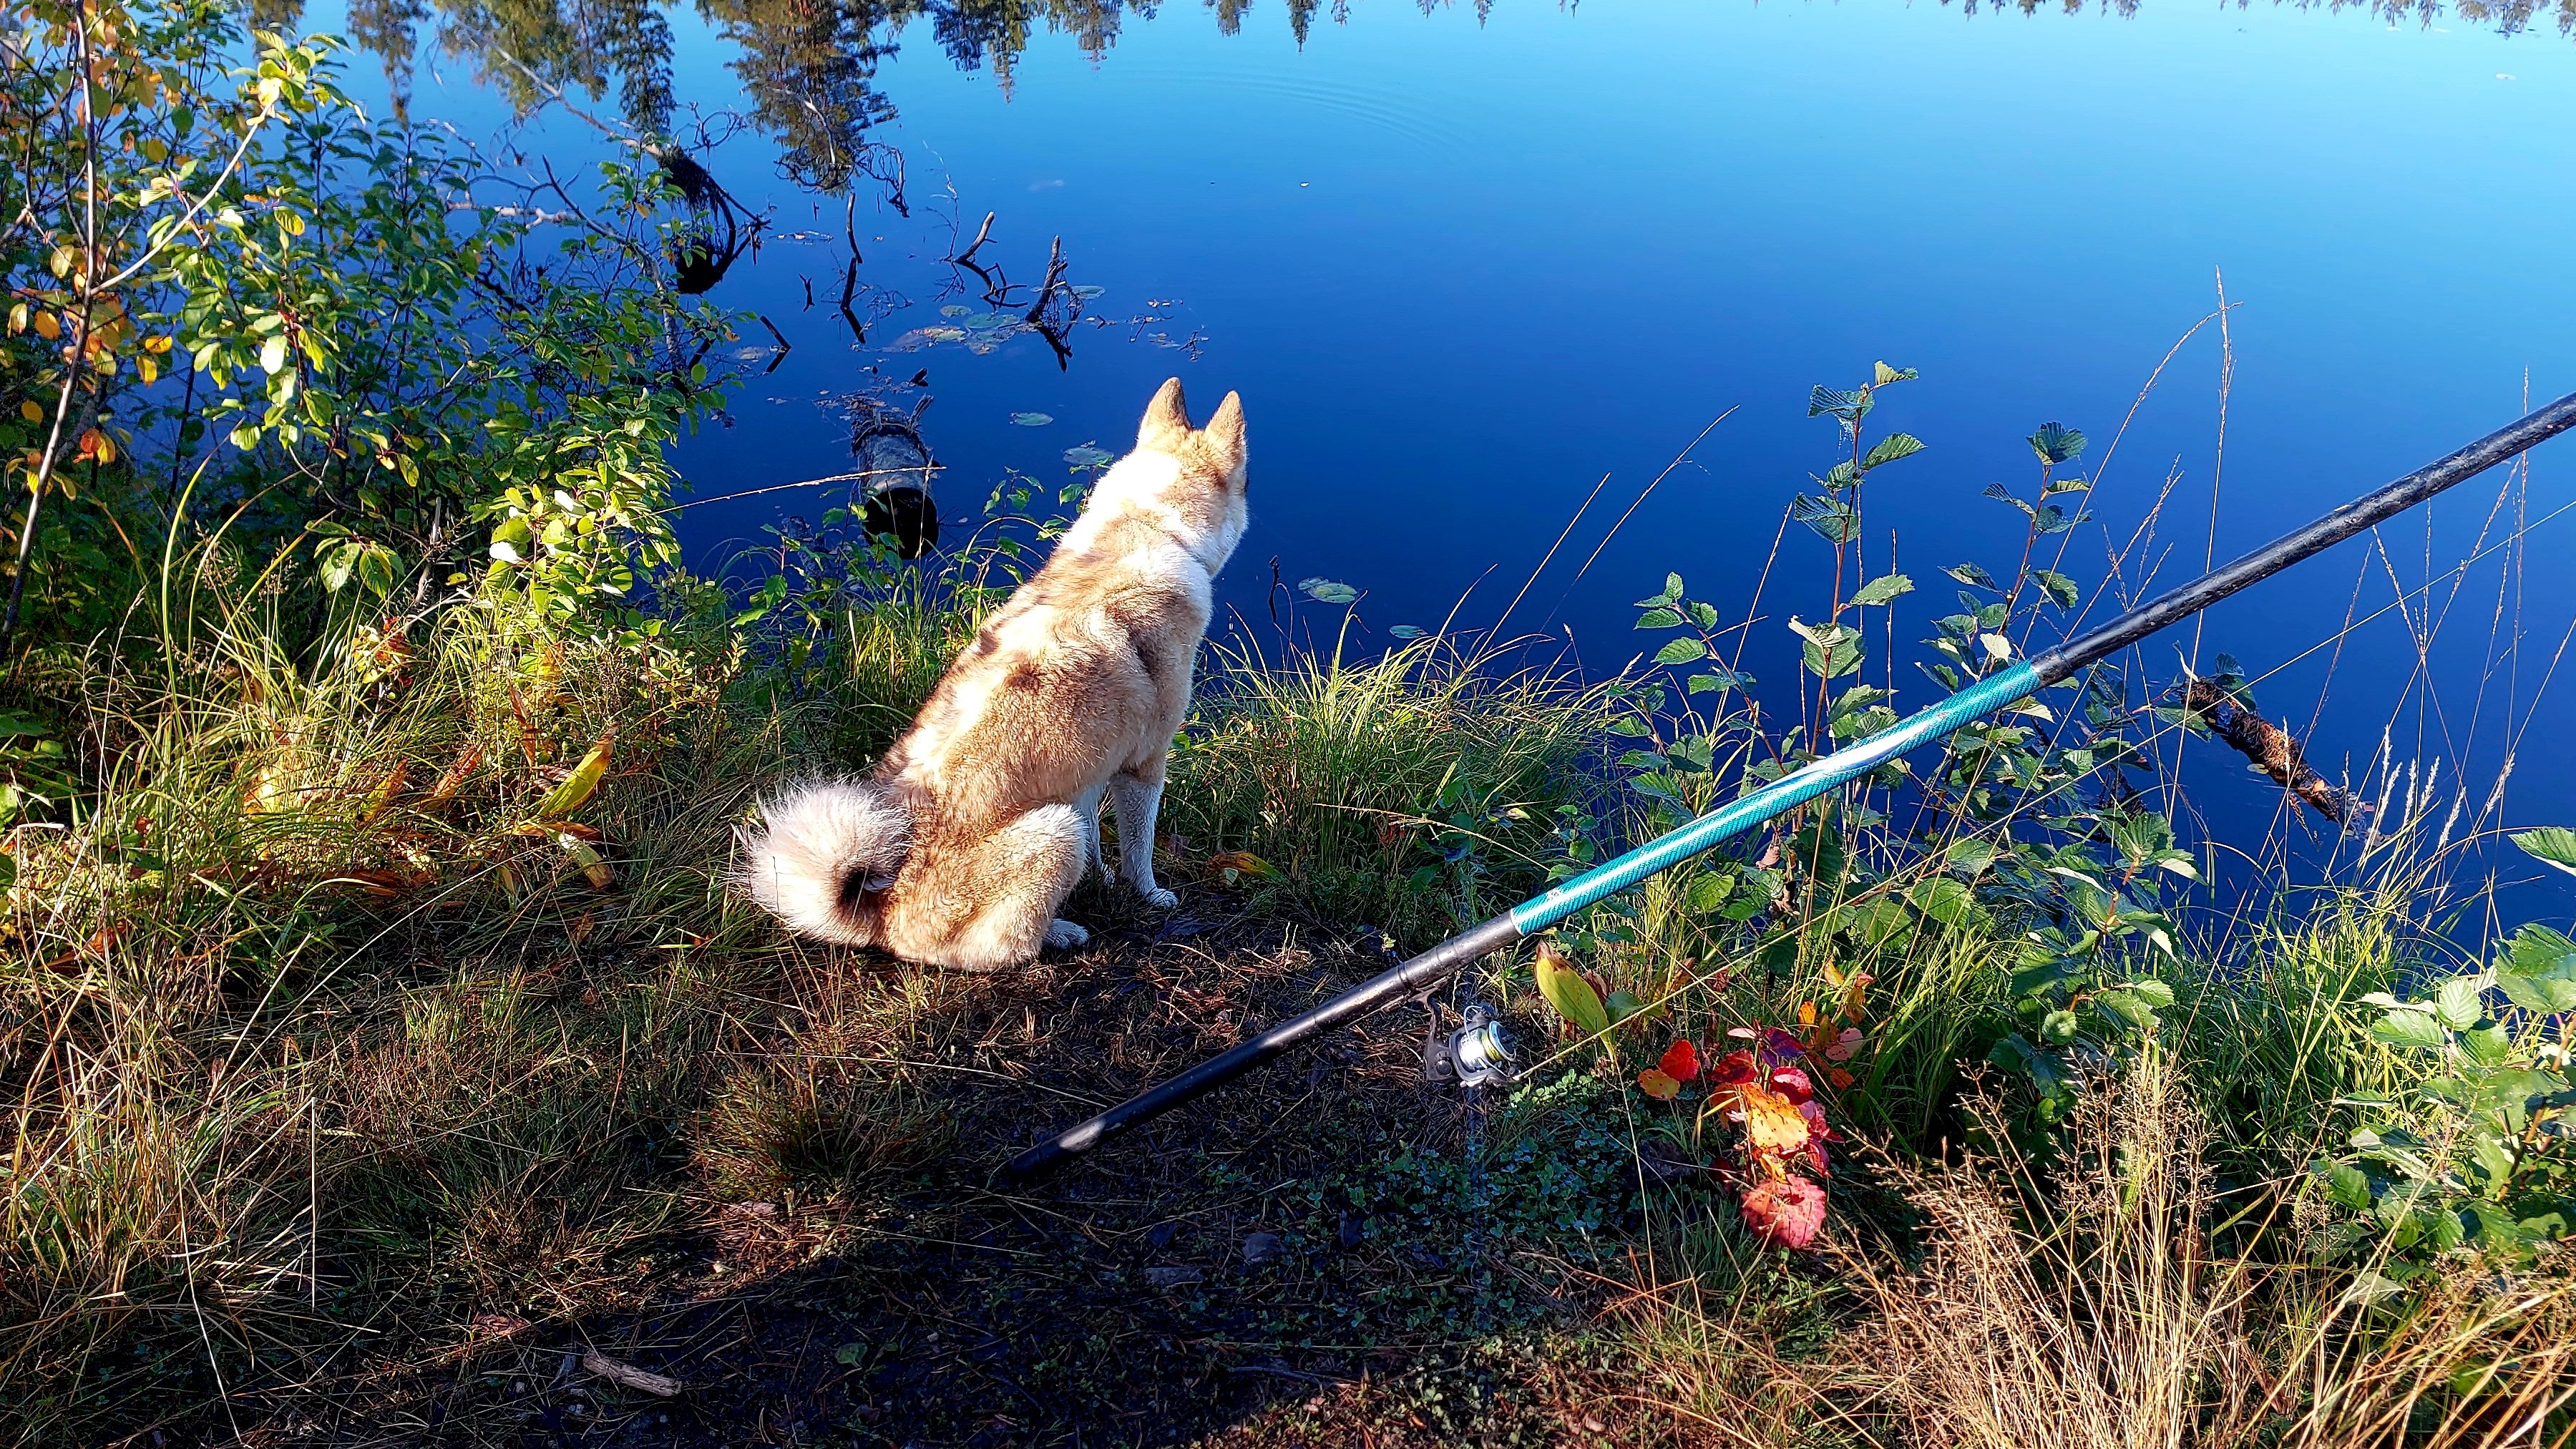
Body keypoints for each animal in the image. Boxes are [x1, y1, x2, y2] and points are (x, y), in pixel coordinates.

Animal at [731, 379, 1252, 969]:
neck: (1144, 526)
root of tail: (884, 909)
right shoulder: (1143, 764)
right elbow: (1138, 848)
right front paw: (1147, 892)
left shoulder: (1086, 771)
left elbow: (1101, 841)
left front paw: (1100, 877)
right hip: (1054, 832)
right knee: (1006, 947)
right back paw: (1059, 932)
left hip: (1057, 814)